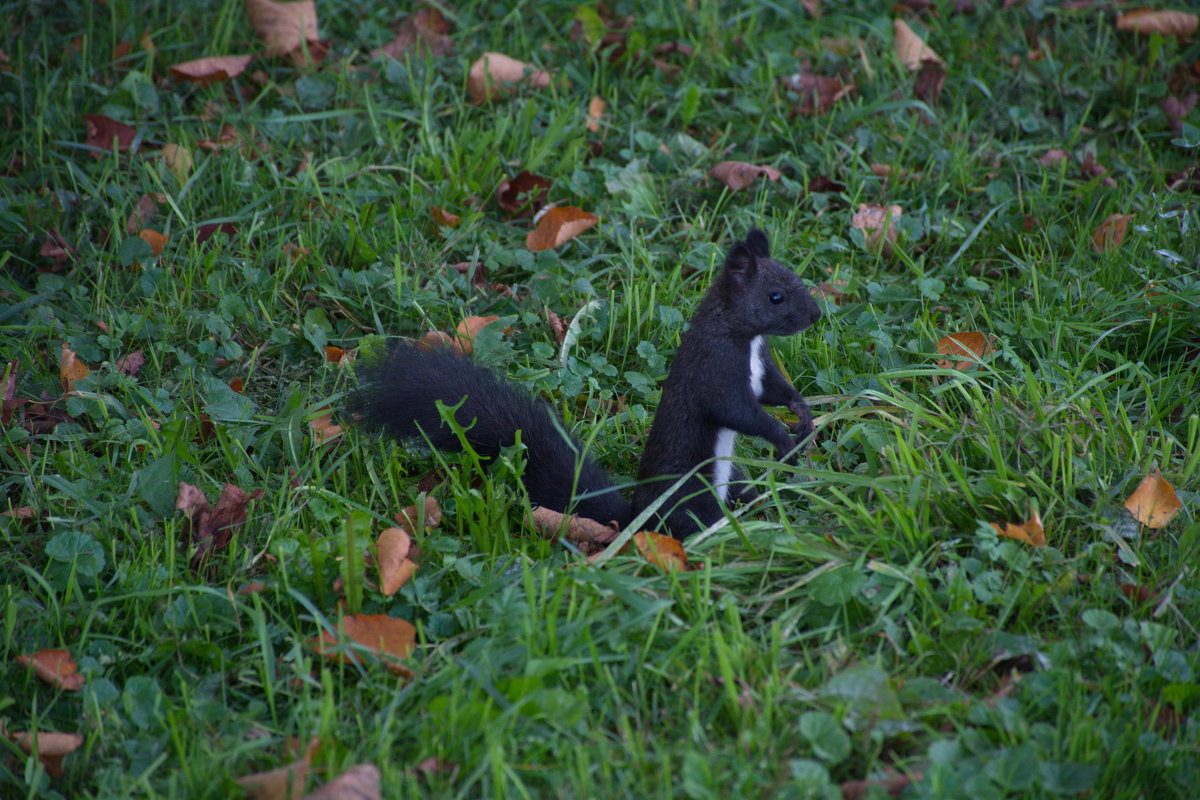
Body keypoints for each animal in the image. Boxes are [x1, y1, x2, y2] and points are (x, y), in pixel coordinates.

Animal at [350, 227, 820, 542]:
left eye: (796, 279)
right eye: (776, 296)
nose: (816, 315)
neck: (742, 336)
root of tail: (640, 519)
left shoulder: (760, 366)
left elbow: (772, 390)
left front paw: (802, 413)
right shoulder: (715, 369)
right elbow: (738, 410)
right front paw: (781, 435)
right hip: (693, 493)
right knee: (693, 524)